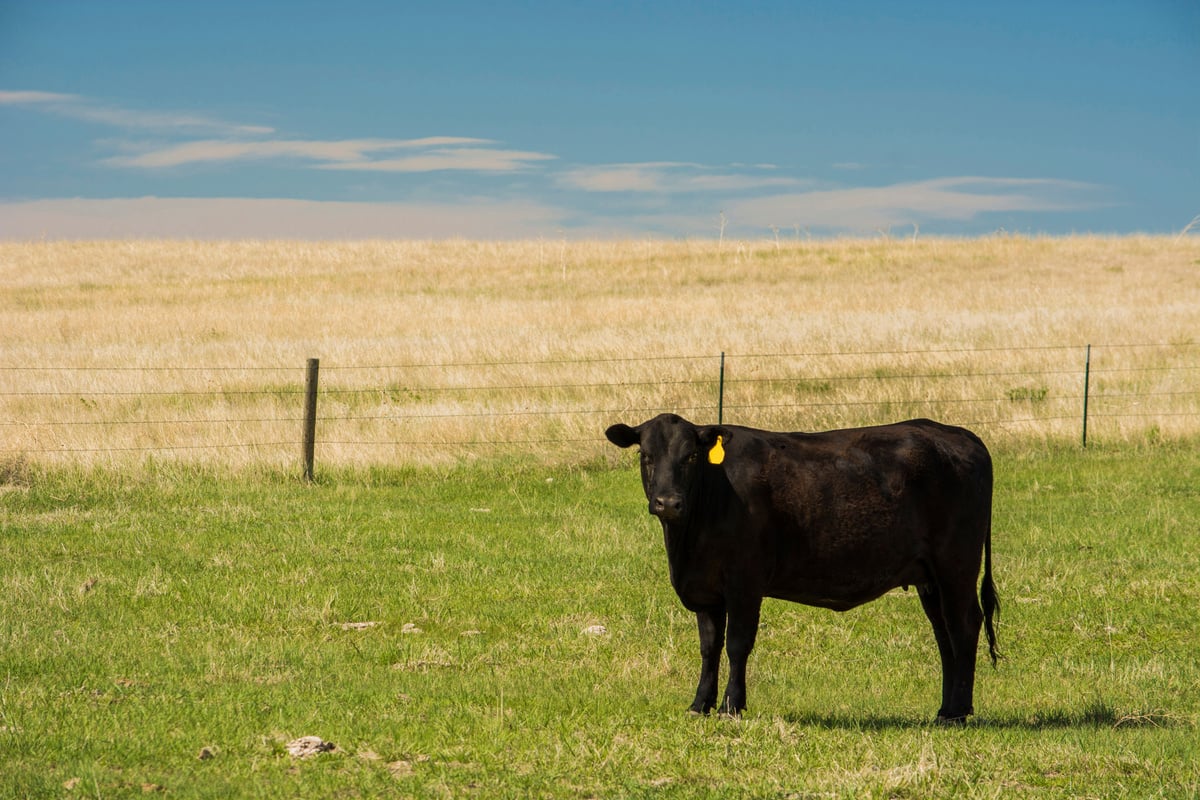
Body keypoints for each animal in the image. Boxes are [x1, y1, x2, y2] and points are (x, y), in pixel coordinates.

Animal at [604, 417, 998, 724]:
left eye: (691, 456)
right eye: (646, 456)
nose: (668, 503)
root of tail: (956, 433)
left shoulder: (745, 583)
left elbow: (737, 644)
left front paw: (732, 706)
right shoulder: (707, 589)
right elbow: (709, 646)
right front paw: (700, 704)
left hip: (956, 566)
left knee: (964, 626)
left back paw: (958, 712)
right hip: (930, 577)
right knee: (944, 634)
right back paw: (945, 709)